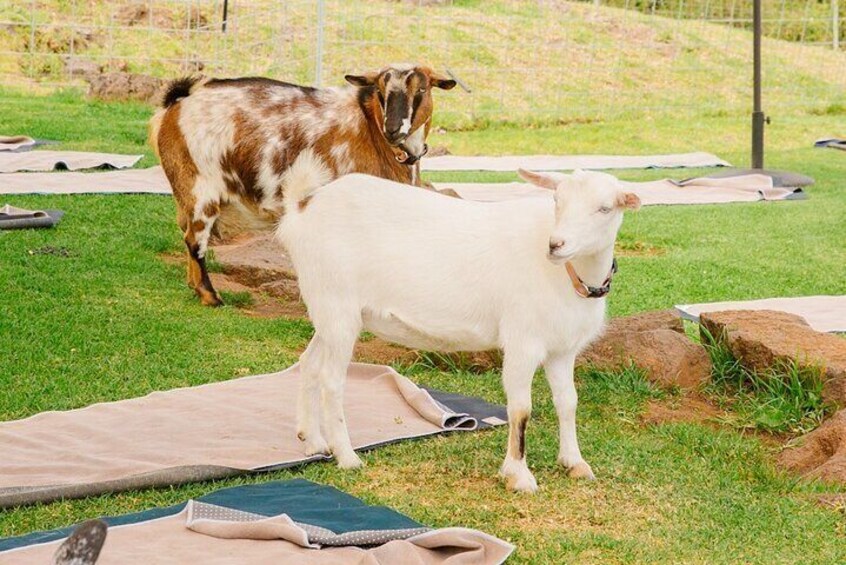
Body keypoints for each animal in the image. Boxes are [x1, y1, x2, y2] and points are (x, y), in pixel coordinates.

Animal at [152, 65, 458, 304]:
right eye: (381, 92)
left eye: (421, 90)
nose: (393, 129)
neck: (371, 129)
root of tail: (178, 101)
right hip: (200, 189)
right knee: (195, 241)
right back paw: (211, 296)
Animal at [278, 162, 644, 490]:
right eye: (557, 200)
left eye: (605, 208)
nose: (556, 245)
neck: (570, 276)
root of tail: (302, 207)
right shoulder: (522, 340)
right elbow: (521, 409)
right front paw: (518, 475)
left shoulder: (562, 349)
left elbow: (568, 402)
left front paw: (575, 463)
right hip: (336, 303)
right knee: (331, 380)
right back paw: (347, 456)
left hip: (331, 313)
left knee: (309, 363)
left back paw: (313, 440)